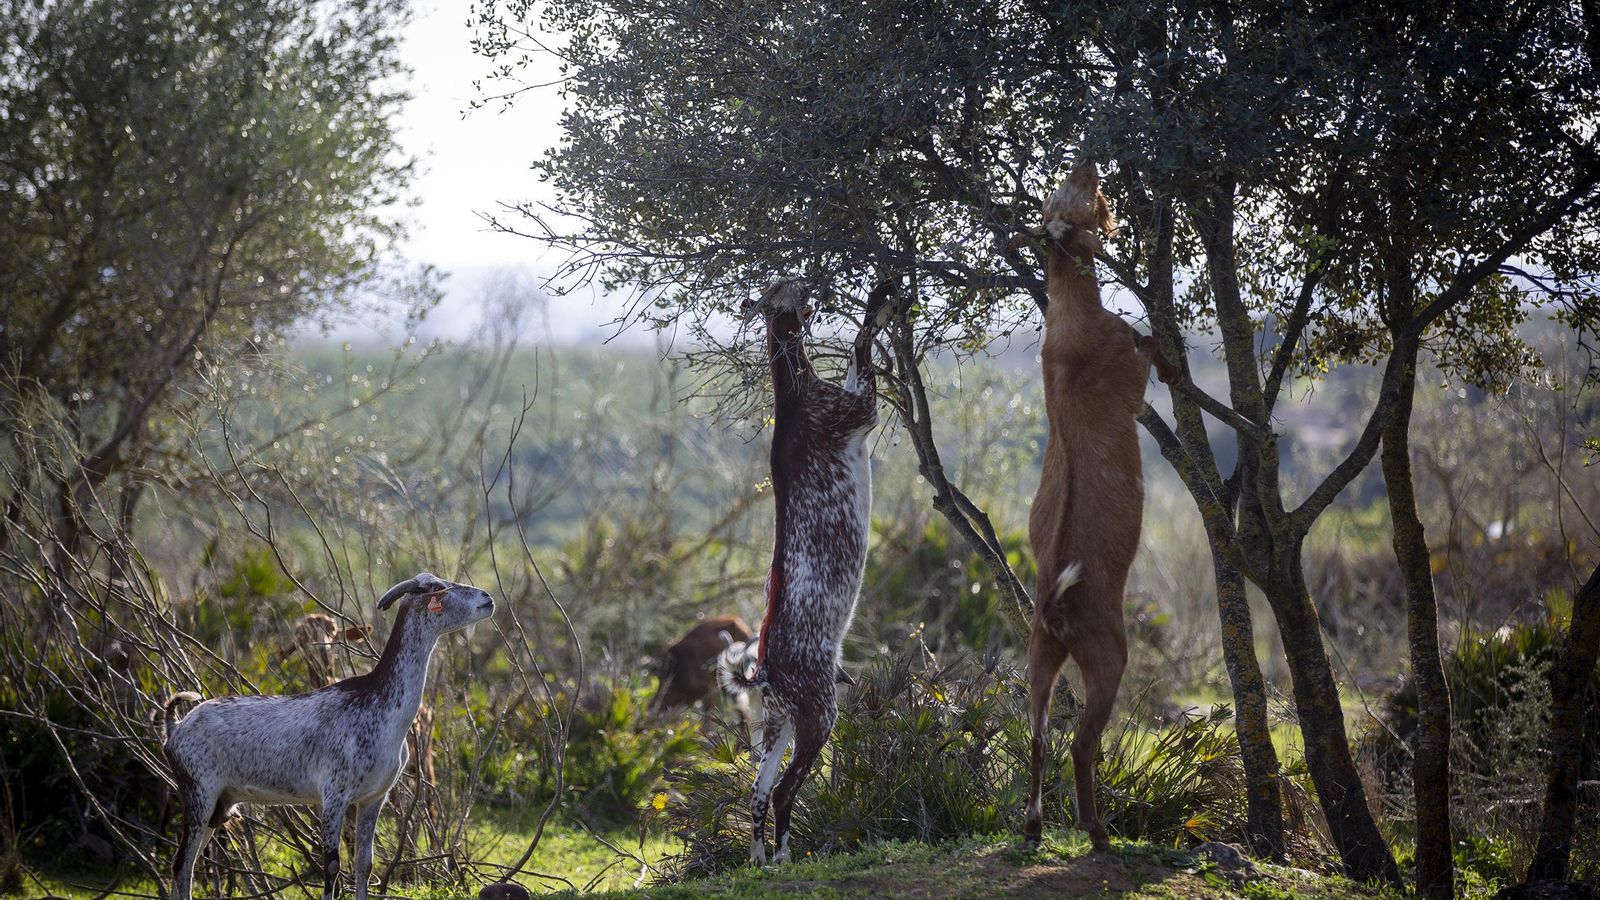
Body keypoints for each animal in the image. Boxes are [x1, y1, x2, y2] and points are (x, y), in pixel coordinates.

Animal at [163, 573, 494, 900]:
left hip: (221, 804)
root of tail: (175, 728)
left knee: (187, 863)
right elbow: (332, 867)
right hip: (199, 793)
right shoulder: (334, 795)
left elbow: (364, 865)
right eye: (437, 588)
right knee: (181, 864)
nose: (487, 598)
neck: (380, 705)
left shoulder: (374, 798)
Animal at [729, 278, 896, 865]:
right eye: (783, 288)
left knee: (757, 793)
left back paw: (760, 859)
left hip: (777, 721)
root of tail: (765, 671)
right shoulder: (858, 410)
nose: (806, 285)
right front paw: (883, 296)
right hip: (819, 712)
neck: (795, 393)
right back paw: (783, 856)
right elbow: (862, 344)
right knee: (783, 791)